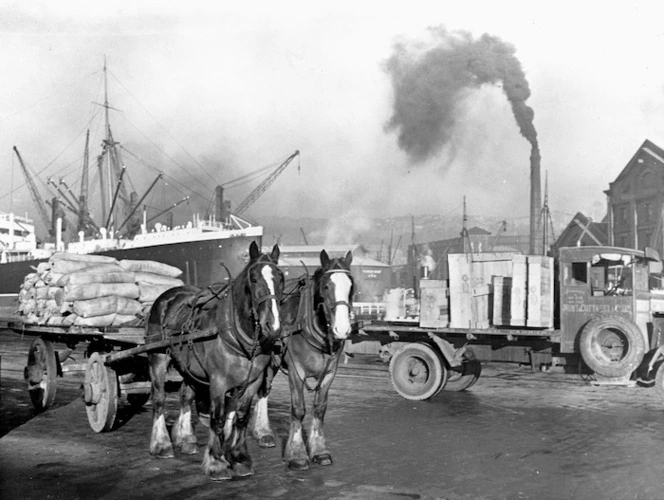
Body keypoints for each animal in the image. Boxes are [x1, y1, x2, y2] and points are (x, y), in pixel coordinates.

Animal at [147, 242, 282, 480]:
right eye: (254, 279)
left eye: (281, 278)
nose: (272, 326)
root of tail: (168, 295)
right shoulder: (218, 381)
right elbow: (217, 419)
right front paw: (216, 462)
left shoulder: (252, 381)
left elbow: (241, 416)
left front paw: (239, 458)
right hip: (158, 359)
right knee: (159, 400)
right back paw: (162, 444)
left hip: (188, 367)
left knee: (185, 396)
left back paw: (185, 439)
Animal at [250, 248, 352, 470]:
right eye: (326, 285)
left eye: (351, 287)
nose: (342, 328)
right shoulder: (296, 372)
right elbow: (298, 410)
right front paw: (297, 454)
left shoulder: (330, 374)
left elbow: (319, 410)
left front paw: (320, 451)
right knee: (263, 389)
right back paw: (262, 431)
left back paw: (261, 431)